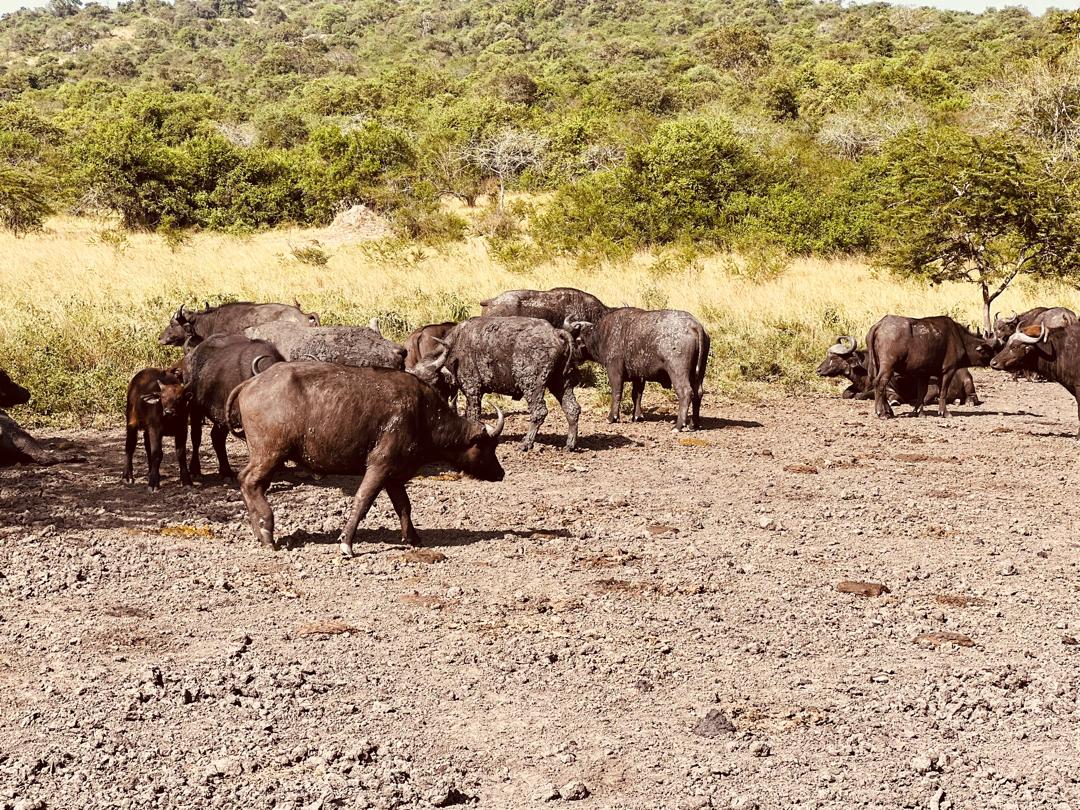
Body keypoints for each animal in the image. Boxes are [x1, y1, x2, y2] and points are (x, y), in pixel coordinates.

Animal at [182, 334, 283, 478]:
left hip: (221, 417)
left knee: (217, 438)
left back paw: (226, 471)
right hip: (195, 407)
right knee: (196, 436)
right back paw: (195, 470)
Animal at [227, 362, 505, 556]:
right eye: (488, 446)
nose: (501, 473)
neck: (423, 415)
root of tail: (252, 382)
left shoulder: (394, 476)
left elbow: (404, 506)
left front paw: (412, 538)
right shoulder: (379, 466)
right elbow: (362, 501)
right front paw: (346, 543)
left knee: (246, 482)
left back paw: (259, 532)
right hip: (270, 454)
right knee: (250, 482)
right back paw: (267, 531)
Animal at [443, 316, 581, 450]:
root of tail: (555, 333)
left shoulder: (472, 389)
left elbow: (473, 413)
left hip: (532, 385)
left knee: (539, 411)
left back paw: (525, 444)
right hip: (561, 382)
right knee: (572, 408)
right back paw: (569, 445)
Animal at [570, 307, 709, 431]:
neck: (602, 334)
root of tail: (694, 325)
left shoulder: (614, 370)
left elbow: (616, 392)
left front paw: (612, 417)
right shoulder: (639, 376)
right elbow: (637, 395)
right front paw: (637, 416)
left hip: (677, 372)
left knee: (685, 393)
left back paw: (679, 426)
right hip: (699, 373)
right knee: (698, 393)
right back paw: (693, 424)